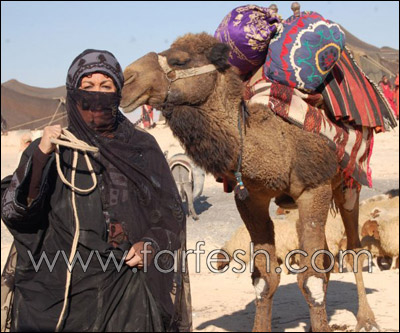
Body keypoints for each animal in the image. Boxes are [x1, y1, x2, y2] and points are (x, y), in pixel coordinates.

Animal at [120, 33, 380, 330]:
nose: (127, 79)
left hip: (348, 184)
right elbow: (265, 279)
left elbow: (311, 280)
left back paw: (366, 318)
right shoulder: (251, 198)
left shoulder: (314, 187)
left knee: (354, 247)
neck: (275, 138)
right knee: (325, 254)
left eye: (179, 60)